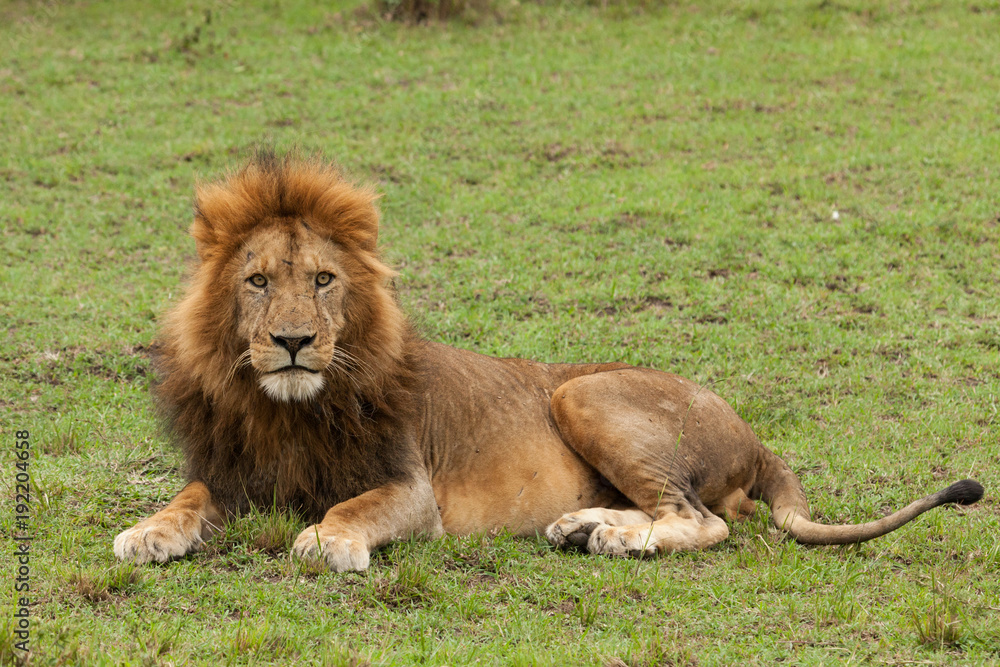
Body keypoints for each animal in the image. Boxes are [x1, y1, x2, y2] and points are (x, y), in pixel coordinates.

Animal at [114, 151, 984, 571]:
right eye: (258, 281)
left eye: (324, 280)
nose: (293, 341)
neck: (289, 408)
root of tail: (758, 437)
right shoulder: (231, 472)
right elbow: (186, 497)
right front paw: (148, 532)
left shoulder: (412, 490)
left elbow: (352, 507)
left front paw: (328, 540)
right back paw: (579, 525)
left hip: (584, 394)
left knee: (702, 519)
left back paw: (614, 540)